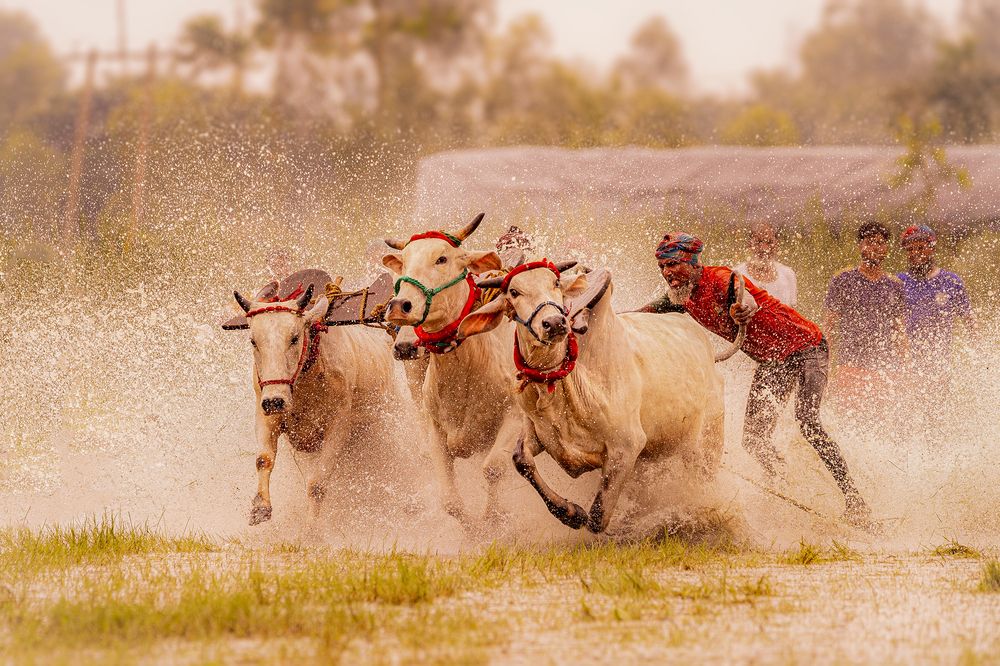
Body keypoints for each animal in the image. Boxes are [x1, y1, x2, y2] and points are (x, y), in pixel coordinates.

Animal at [231, 278, 409, 526]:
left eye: (294, 337)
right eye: (253, 340)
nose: (275, 401)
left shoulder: (339, 426)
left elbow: (316, 484)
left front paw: (312, 528)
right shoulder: (266, 415)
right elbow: (263, 459)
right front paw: (260, 508)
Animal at [381, 213, 522, 530]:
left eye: (442, 258)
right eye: (404, 262)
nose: (399, 305)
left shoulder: (515, 417)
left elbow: (494, 469)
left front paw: (494, 518)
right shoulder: (436, 432)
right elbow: (450, 503)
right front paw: (472, 530)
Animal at [457, 260, 725, 534]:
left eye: (556, 283)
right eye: (513, 292)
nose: (554, 322)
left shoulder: (627, 445)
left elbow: (597, 519)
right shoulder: (537, 431)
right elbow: (520, 459)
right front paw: (570, 512)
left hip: (705, 443)